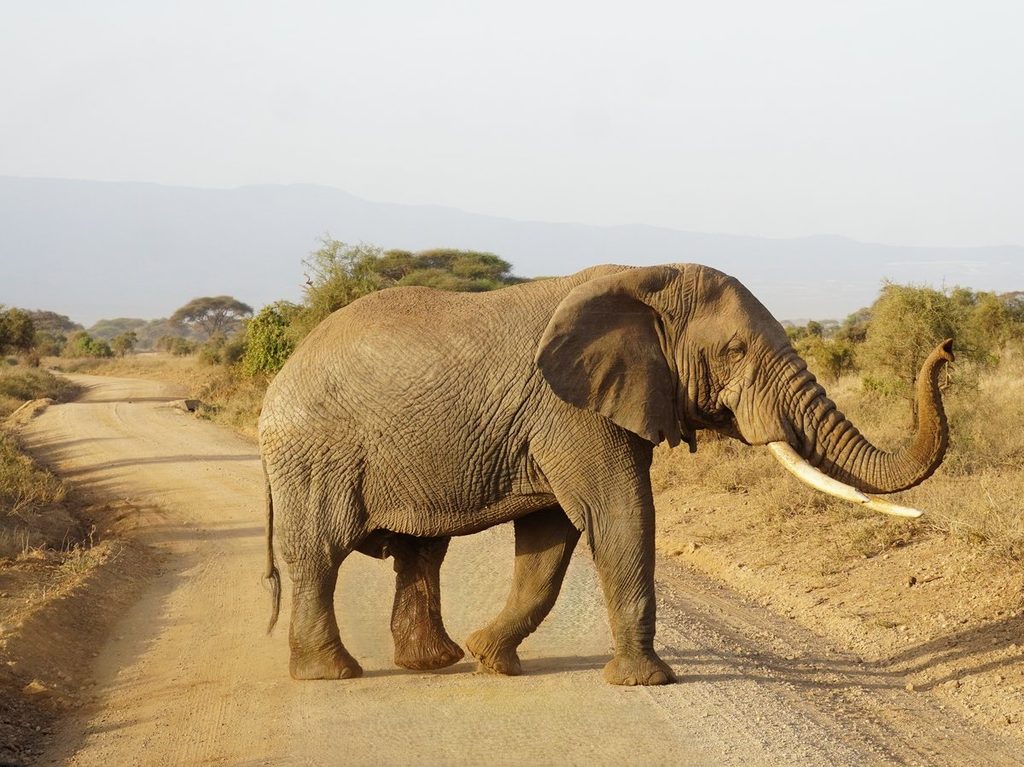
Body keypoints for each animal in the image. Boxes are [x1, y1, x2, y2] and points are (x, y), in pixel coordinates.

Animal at [259, 263, 953, 685]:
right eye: (734, 352)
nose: (946, 349)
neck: (643, 277)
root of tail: (277, 380)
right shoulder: (570, 412)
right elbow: (618, 514)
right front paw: (650, 682)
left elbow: (550, 541)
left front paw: (492, 662)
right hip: (315, 454)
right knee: (319, 552)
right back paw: (333, 675)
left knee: (421, 553)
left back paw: (436, 663)